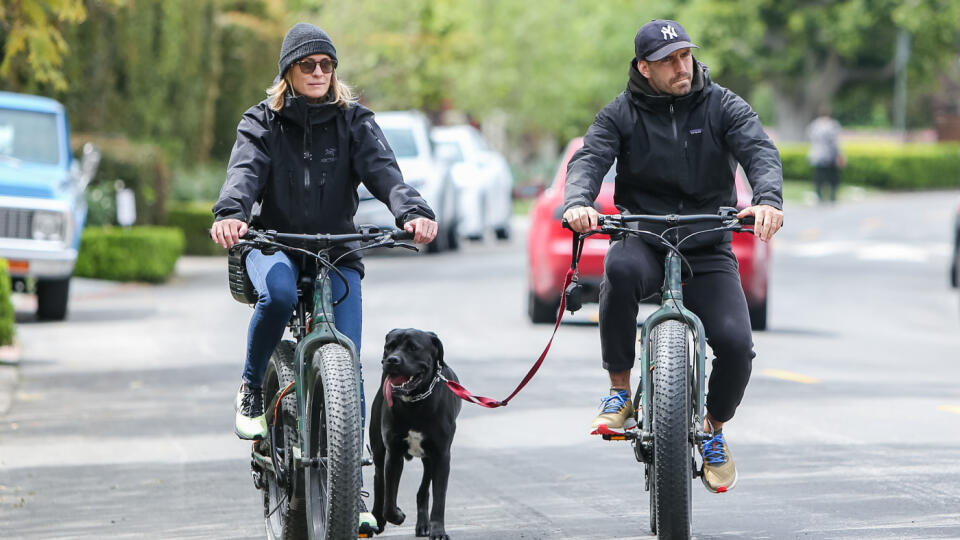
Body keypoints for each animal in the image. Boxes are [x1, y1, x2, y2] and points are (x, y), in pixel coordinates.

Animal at [372, 326, 462, 536]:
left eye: (413, 348)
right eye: (390, 346)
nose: (392, 360)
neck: (415, 401)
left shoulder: (441, 455)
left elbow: (439, 497)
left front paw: (438, 531)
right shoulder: (393, 453)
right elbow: (389, 499)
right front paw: (396, 515)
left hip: (430, 458)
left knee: (423, 491)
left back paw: (423, 525)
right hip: (379, 449)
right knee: (379, 480)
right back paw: (377, 517)